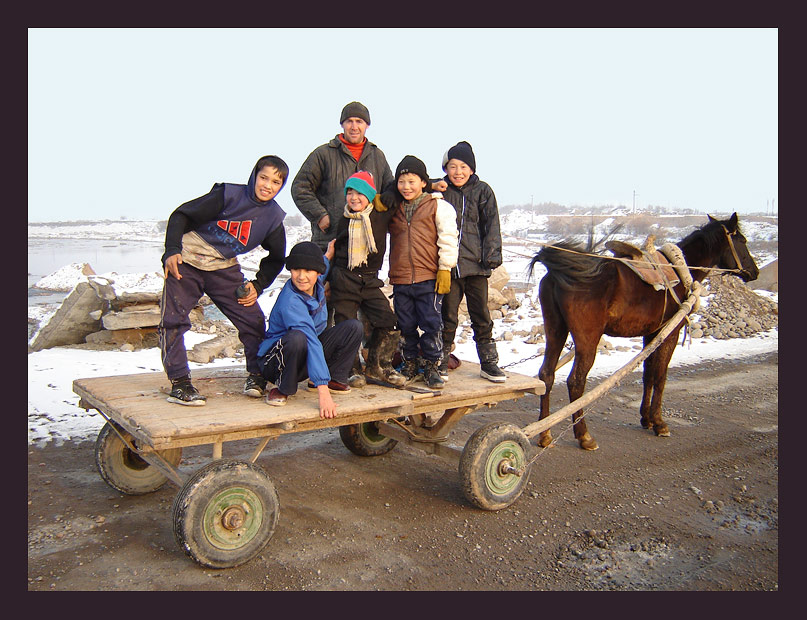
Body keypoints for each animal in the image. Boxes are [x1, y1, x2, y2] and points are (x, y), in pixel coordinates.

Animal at [528, 213, 760, 450]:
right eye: (742, 240)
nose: (755, 271)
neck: (680, 270)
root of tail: (559, 272)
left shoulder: (651, 333)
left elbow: (648, 373)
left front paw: (646, 418)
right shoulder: (670, 332)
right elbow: (661, 375)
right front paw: (659, 422)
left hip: (555, 330)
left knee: (546, 375)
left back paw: (545, 434)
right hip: (587, 339)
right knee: (576, 381)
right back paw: (584, 436)